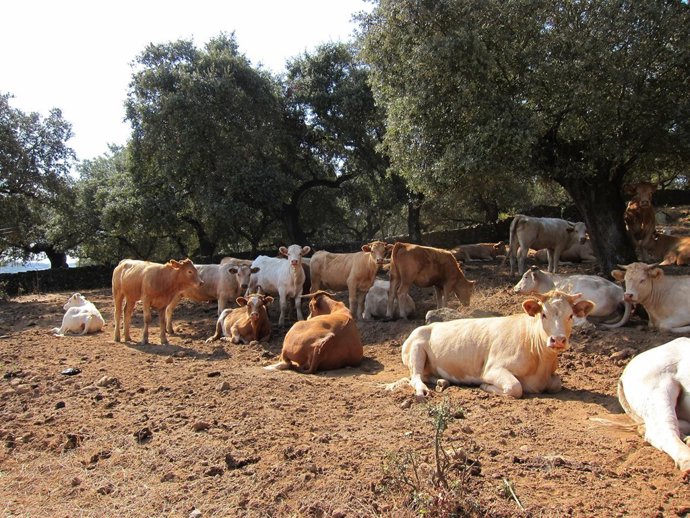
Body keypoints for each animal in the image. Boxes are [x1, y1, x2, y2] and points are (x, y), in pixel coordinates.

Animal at [390, 291, 594, 398]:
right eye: (543, 314)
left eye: (571, 316)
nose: (558, 340)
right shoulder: (492, 369)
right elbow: (515, 388)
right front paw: (485, 387)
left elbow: (557, 383)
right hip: (416, 349)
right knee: (415, 377)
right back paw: (422, 390)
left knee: (425, 375)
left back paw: (442, 380)